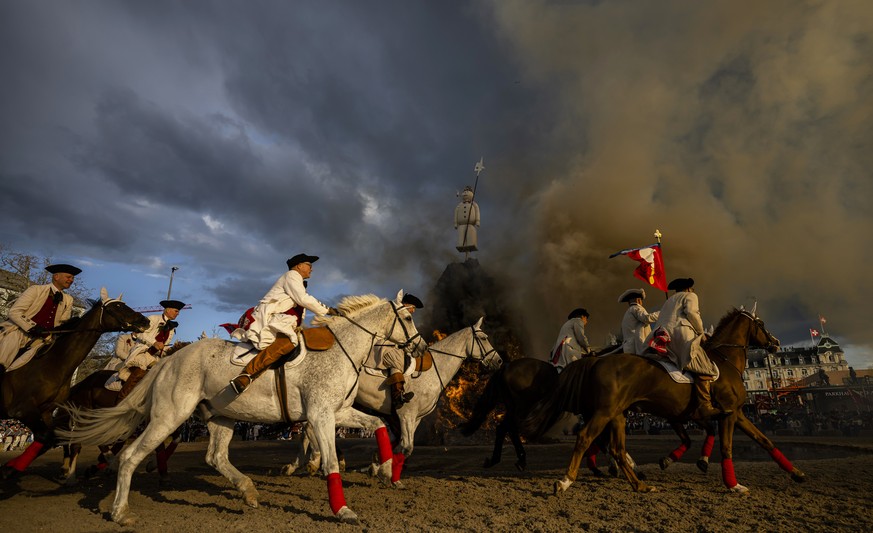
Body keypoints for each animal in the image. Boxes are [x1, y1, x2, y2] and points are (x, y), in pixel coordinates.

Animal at [0, 288, 147, 480]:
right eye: (116, 306)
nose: (144, 321)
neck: (54, 363)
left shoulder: (46, 412)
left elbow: (49, 439)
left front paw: (9, 468)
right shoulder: (22, 409)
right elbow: (49, 438)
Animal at [58, 290, 426, 524]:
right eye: (407, 318)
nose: (421, 347)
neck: (340, 350)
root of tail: (170, 360)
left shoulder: (337, 414)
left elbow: (378, 426)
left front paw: (386, 469)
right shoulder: (320, 416)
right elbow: (331, 463)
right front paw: (342, 510)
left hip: (220, 417)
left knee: (215, 457)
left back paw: (247, 490)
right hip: (170, 416)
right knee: (130, 456)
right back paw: (120, 511)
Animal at [286, 318, 504, 484]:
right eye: (483, 338)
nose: (499, 360)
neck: (433, 370)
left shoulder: (414, 419)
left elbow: (400, 446)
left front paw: (378, 465)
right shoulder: (405, 414)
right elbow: (406, 446)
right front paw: (382, 469)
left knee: (308, 429)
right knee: (309, 429)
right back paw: (310, 462)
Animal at [516, 310, 804, 492]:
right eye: (761, 324)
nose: (776, 343)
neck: (723, 361)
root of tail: (596, 360)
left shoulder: (725, 413)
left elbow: (764, 441)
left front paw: (796, 473)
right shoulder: (726, 414)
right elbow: (726, 447)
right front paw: (732, 484)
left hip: (616, 414)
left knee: (614, 447)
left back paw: (636, 481)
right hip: (604, 412)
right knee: (587, 437)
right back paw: (567, 480)